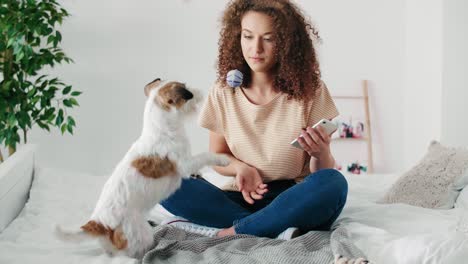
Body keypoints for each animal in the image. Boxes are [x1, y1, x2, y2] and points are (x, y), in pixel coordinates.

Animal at [54, 78, 230, 258]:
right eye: (187, 91)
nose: (199, 91)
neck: (161, 129)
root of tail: (99, 222)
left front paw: (198, 173)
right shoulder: (185, 163)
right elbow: (203, 156)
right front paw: (223, 159)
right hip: (140, 234)